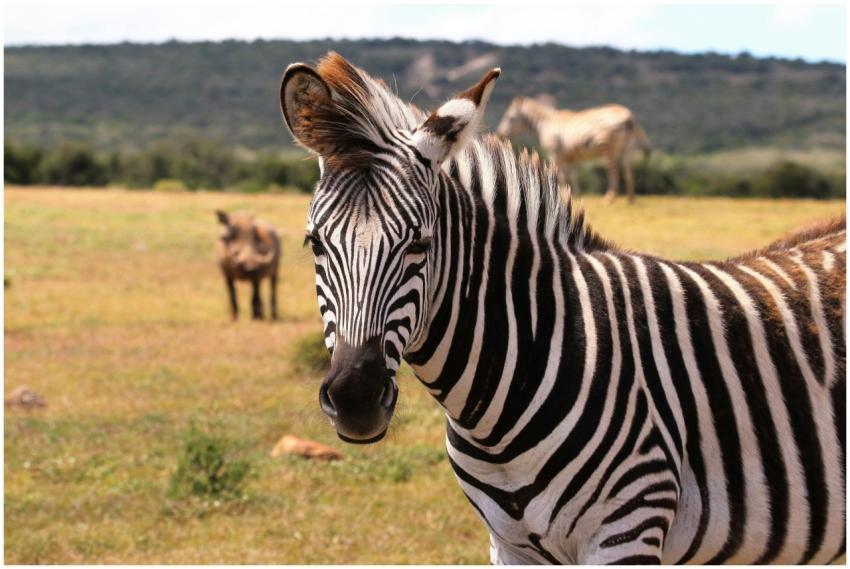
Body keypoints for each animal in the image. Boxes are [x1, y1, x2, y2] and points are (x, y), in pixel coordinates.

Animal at [496, 96, 652, 204]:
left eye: (510, 118)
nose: (499, 134)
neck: (545, 124)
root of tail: (628, 116)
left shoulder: (555, 154)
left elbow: (561, 175)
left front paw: (560, 195)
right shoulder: (569, 157)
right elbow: (573, 175)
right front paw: (575, 195)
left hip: (607, 147)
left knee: (614, 171)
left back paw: (609, 198)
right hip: (628, 149)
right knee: (629, 170)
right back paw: (630, 199)